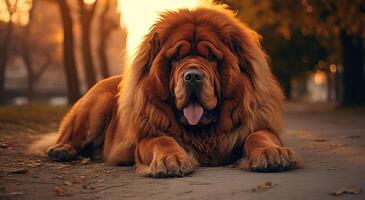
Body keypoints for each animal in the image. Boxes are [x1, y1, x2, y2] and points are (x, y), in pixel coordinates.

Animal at [29, 4, 302, 177]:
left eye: (211, 57)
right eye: (176, 58)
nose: (192, 76)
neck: (204, 133)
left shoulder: (258, 124)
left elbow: (259, 136)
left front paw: (270, 153)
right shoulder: (148, 135)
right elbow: (163, 140)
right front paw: (171, 160)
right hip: (94, 107)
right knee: (70, 136)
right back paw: (62, 150)